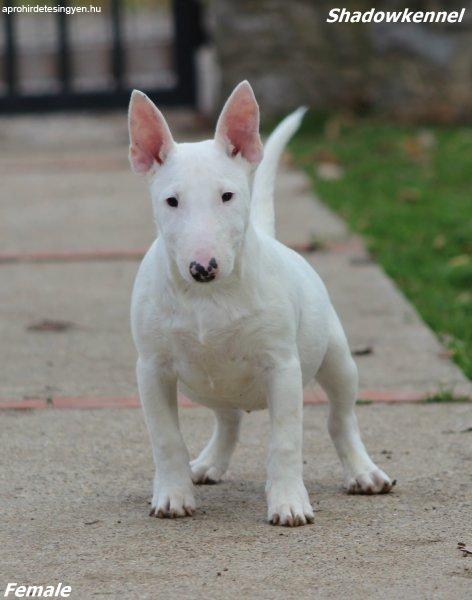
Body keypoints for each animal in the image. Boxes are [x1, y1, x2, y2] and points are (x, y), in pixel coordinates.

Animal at [127, 81, 392, 524]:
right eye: (171, 201)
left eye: (227, 195)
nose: (203, 267)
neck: (208, 296)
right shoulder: (152, 369)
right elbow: (165, 438)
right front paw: (172, 496)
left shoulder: (282, 366)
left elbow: (285, 441)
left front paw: (288, 503)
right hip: (207, 386)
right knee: (228, 418)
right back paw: (207, 464)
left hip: (337, 358)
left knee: (341, 418)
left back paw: (364, 473)